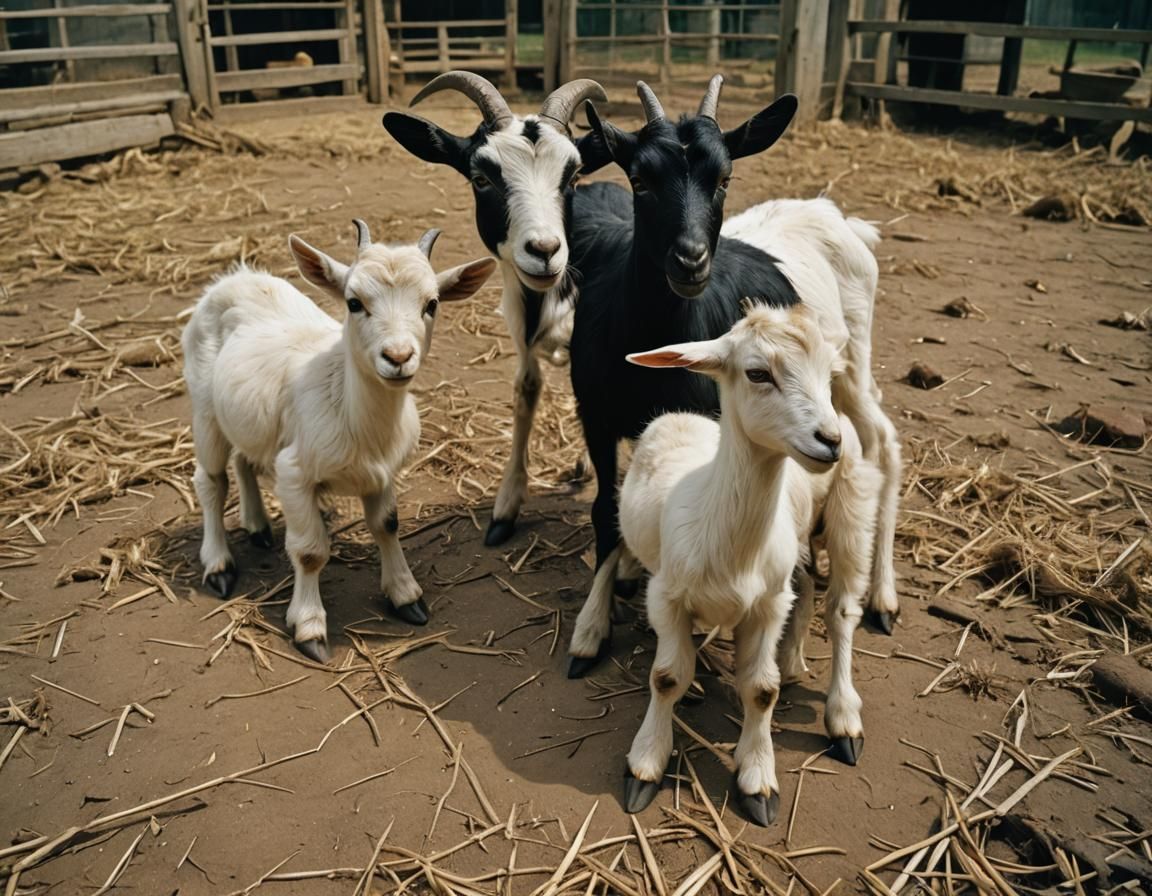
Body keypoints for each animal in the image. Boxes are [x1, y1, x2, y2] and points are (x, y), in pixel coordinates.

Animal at [182, 221, 496, 661]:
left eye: (432, 303)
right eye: (353, 302)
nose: (398, 357)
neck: (351, 408)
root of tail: (235, 278)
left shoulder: (383, 472)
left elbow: (386, 525)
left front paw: (405, 596)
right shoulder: (295, 472)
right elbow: (310, 551)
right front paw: (310, 627)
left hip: (247, 416)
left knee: (244, 458)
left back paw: (258, 527)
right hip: (205, 408)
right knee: (210, 480)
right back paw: (219, 565)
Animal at [383, 72, 611, 547]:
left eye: (574, 175)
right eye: (481, 178)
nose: (544, 250)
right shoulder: (519, 328)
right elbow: (526, 391)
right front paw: (506, 506)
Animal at [565, 77, 901, 679]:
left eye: (725, 178)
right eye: (639, 179)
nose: (691, 261)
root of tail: (837, 217)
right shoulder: (595, 415)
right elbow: (605, 511)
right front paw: (592, 625)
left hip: (853, 356)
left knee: (881, 440)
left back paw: (882, 593)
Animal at [618, 304, 881, 825]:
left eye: (829, 375)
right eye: (758, 373)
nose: (830, 440)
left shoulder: (767, 604)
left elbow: (761, 690)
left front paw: (757, 780)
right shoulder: (666, 595)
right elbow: (666, 677)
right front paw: (647, 763)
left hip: (852, 510)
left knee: (842, 611)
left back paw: (844, 718)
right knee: (809, 589)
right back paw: (793, 659)